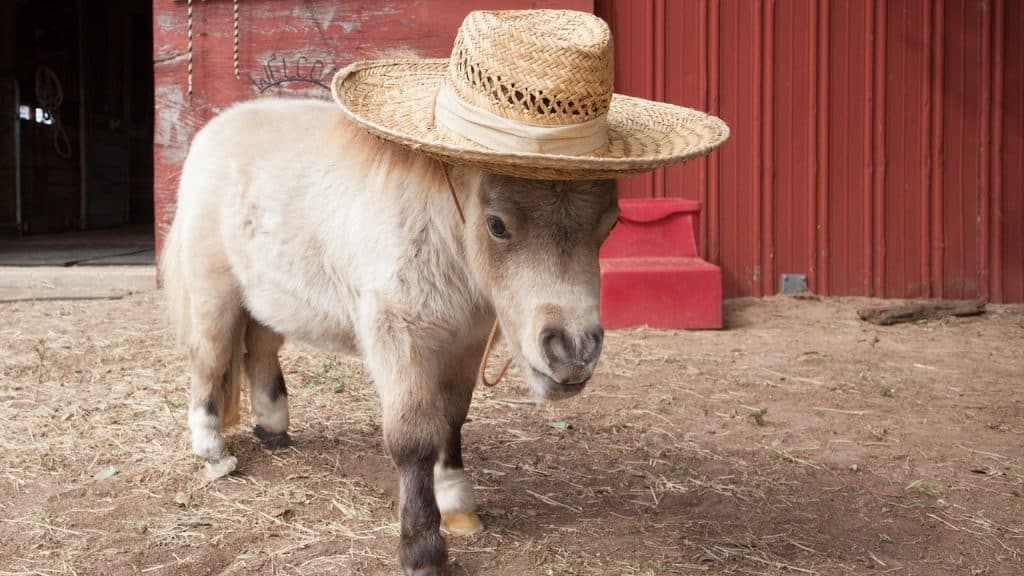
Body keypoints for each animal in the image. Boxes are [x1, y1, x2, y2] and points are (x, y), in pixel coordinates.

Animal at [161, 97, 619, 575]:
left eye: (610, 225)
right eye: (497, 225)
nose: (573, 351)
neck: (440, 238)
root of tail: (213, 129)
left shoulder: (464, 345)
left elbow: (451, 419)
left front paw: (458, 504)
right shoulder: (399, 339)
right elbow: (413, 438)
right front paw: (422, 549)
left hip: (266, 297)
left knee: (261, 351)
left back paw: (272, 428)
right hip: (215, 294)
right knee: (210, 358)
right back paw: (213, 451)